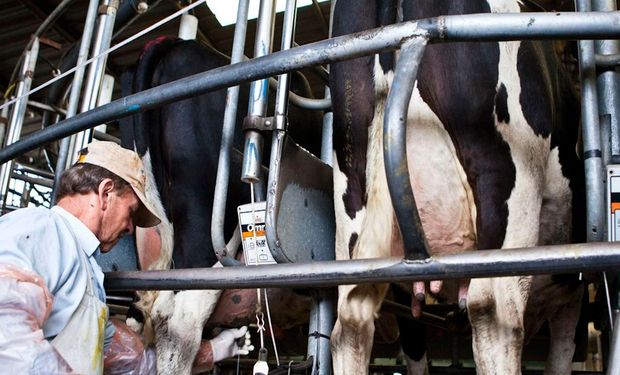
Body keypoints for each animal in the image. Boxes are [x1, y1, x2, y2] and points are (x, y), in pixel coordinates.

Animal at [332, 0, 584, 375]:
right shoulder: (573, 289)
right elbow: (561, 356)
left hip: (350, 189)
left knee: (351, 321)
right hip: (506, 180)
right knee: (494, 312)